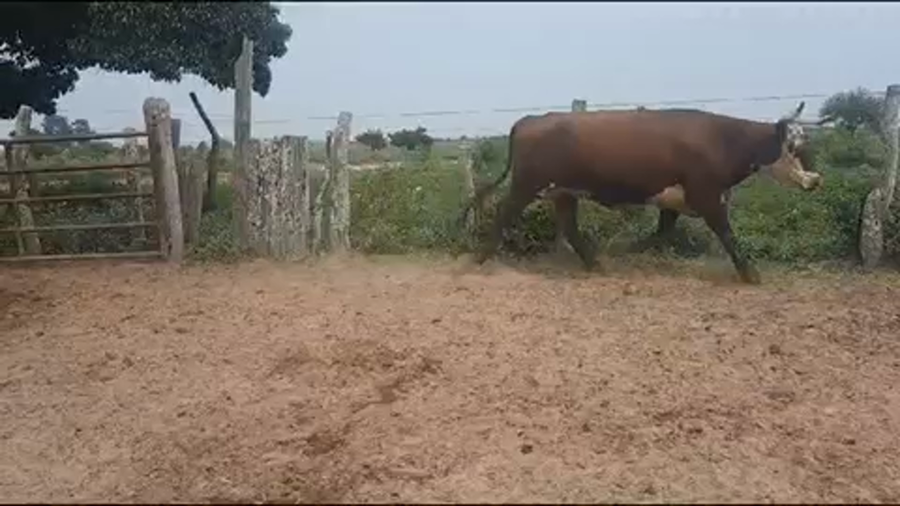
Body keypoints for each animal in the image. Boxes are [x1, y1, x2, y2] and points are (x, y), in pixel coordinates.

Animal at [459, 102, 826, 284]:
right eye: (795, 146)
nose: (815, 180)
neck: (723, 139)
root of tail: (531, 119)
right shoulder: (707, 196)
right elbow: (726, 234)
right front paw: (750, 273)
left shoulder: (674, 201)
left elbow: (661, 233)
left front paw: (625, 250)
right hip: (527, 185)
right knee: (504, 213)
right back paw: (477, 259)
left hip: (564, 192)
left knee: (569, 227)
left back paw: (596, 263)